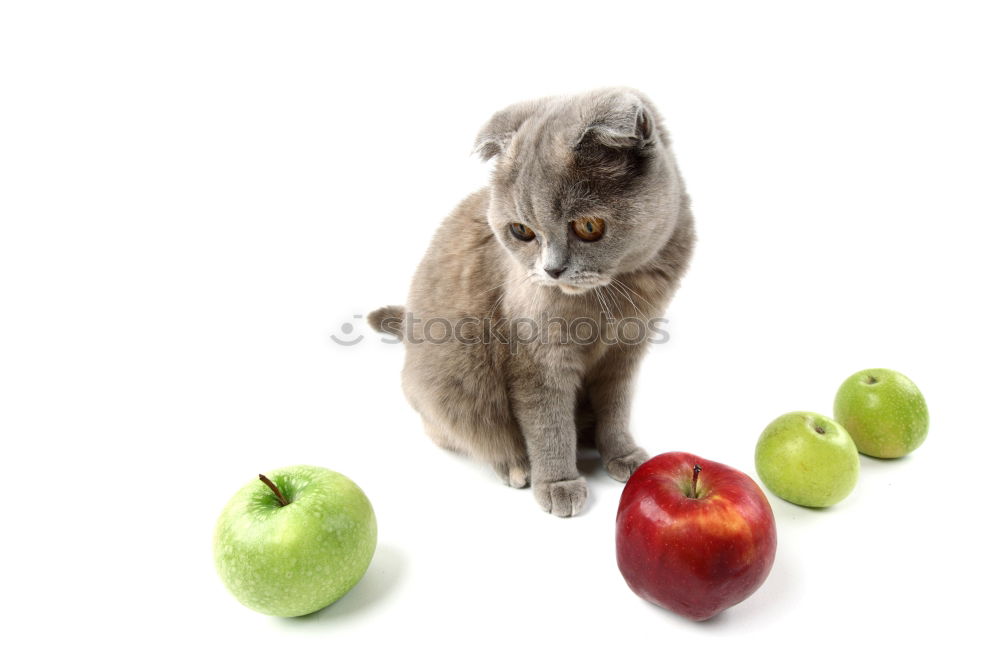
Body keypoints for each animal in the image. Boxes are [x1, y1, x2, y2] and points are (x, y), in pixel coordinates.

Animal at [370, 87, 696, 512]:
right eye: (521, 231)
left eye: (588, 226)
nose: (552, 270)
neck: (611, 299)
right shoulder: (536, 356)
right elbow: (547, 421)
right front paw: (558, 483)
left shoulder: (627, 350)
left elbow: (616, 407)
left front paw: (623, 455)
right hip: (451, 386)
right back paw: (514, 465)